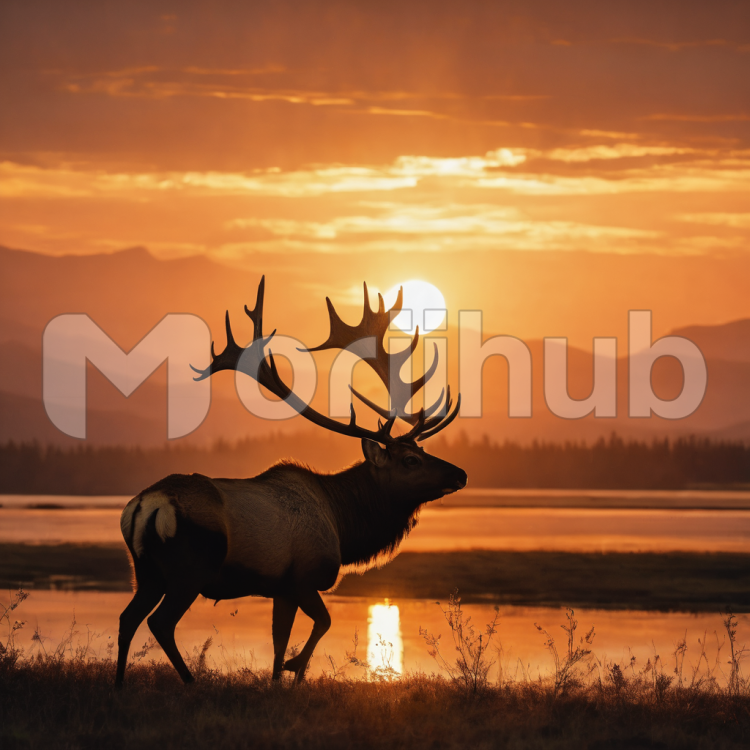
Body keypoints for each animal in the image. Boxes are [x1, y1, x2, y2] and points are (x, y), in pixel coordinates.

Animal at [115, 278, 466, 687]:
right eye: (411, 460)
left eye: (423, 450)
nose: (460, 474)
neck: (345, 526)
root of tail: (145, 505)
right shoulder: (304, 578)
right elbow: (322, 623)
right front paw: (295, 671)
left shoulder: (280, 589)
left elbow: (279, 639)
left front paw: (277, 679)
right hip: (189, 570)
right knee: (160, 622)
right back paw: (190, 681)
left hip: (145, 571)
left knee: (128, 618)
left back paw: (119, 683)